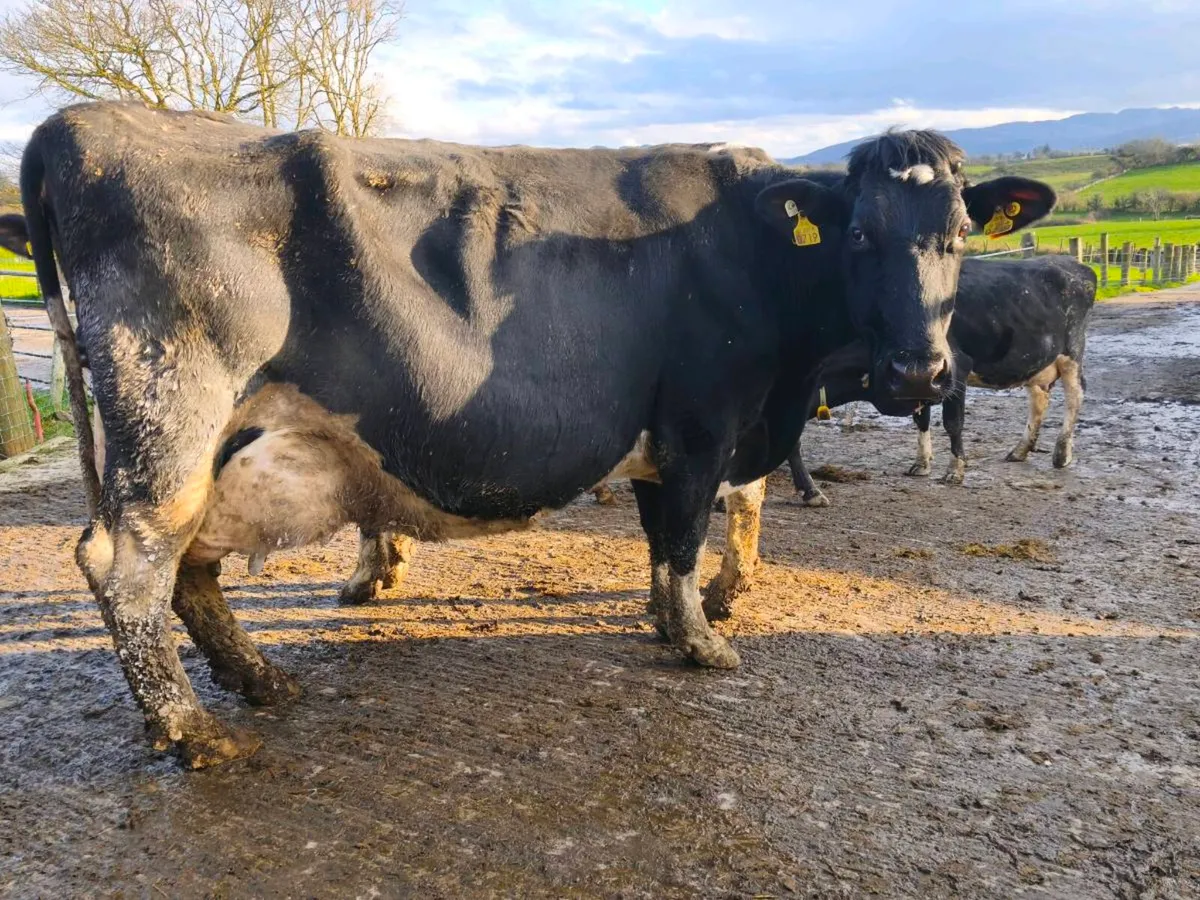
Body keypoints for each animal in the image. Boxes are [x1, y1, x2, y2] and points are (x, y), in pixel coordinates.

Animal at [5, 101, 1053, 767]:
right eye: (859, 236)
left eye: (962, 233)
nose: (920, 371)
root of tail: (83, 121)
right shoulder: (703, 417)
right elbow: (683, 535)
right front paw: (698, 643)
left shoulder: (685, 430)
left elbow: (678, 531)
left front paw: (676, 614)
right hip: (171, 411)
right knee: (128, 561)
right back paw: (192, 731)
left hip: (218, 444)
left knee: (189, 564)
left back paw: (258, 679)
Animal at [786, 255, 1097, 505]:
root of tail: (1074, 265)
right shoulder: (916, 375)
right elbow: (921, 418)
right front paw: (922, 463)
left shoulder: (956, 368)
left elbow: (953, 423)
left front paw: (955, 470)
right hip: (1036, 360)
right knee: (1039, 398)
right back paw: (1020, 450)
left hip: (1072, 353)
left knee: (1075, 395)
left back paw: (1062, 453)